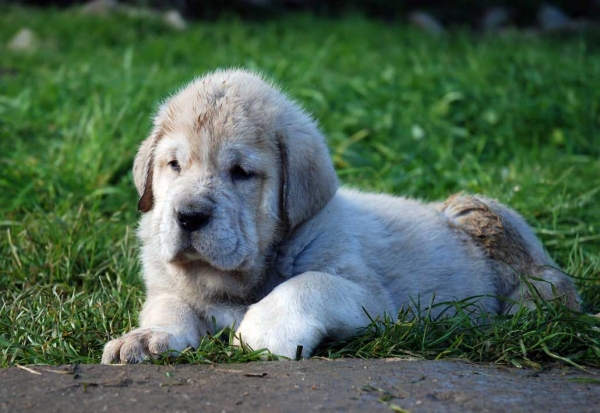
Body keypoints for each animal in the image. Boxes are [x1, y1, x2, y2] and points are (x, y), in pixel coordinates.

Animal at [101, 69, 580, 362]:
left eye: (241, 172)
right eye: (174, 165)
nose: (188, 215)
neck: (238, 282)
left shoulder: (374, 299)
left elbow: (308, 284)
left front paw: (261, 330)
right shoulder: (167, 284)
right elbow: (167, 304)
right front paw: (148, 337)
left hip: (483, 217)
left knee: (551, 286)